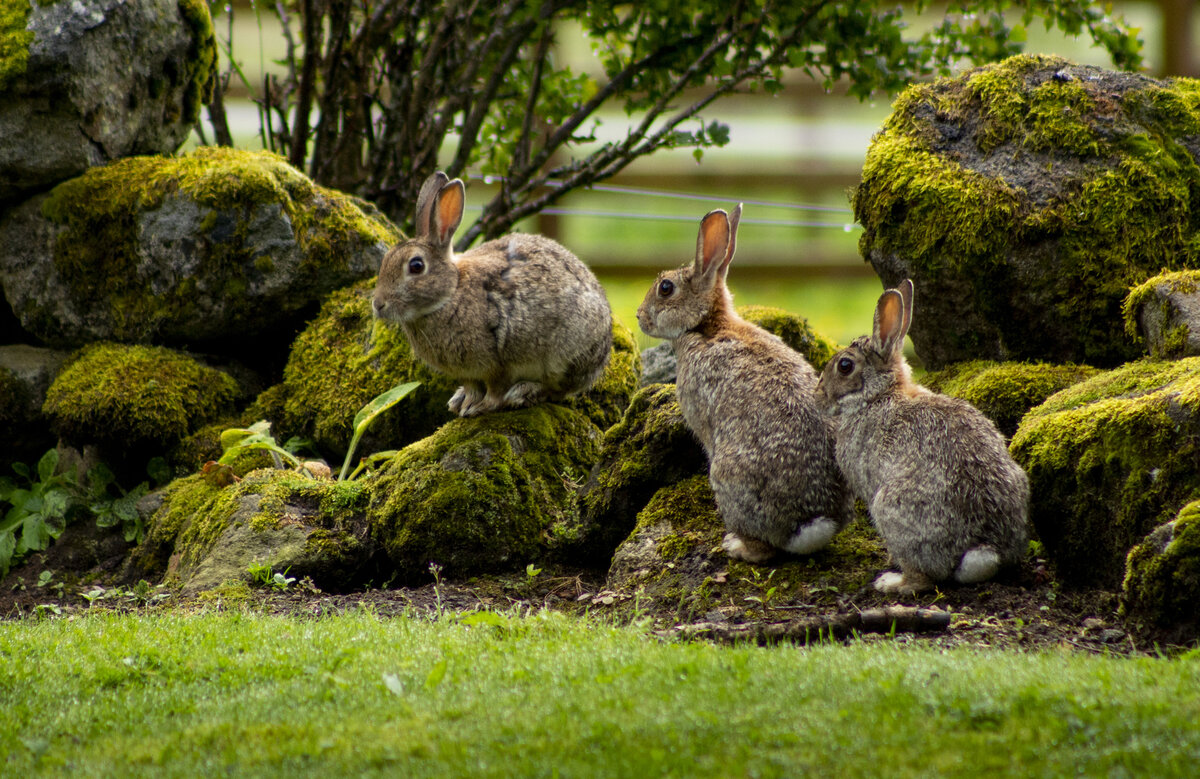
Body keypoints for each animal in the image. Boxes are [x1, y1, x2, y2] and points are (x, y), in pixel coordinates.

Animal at [372, 169, 619, 412]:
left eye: (416, 266)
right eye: (385, 260)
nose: (378, 305)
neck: (451, 292)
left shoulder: (497, 362)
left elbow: (495, 388)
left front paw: (481, 407)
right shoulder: (467, 373)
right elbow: (471, 386)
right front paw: (464, 402)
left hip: (565, 354)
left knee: (556, 390)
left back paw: (523, 392)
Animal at [638, 204, 854, 561]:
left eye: (665, 288)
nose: (640, 317)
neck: (706, 325)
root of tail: (810, 524)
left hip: (728, 475)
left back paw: (737, 546)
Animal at [816, 278, 1032, 590]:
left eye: (845, 366)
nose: (818, 395)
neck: (877, 396)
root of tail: (984, 550)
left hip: (889, 508)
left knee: (923, 578)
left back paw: (891, 582)